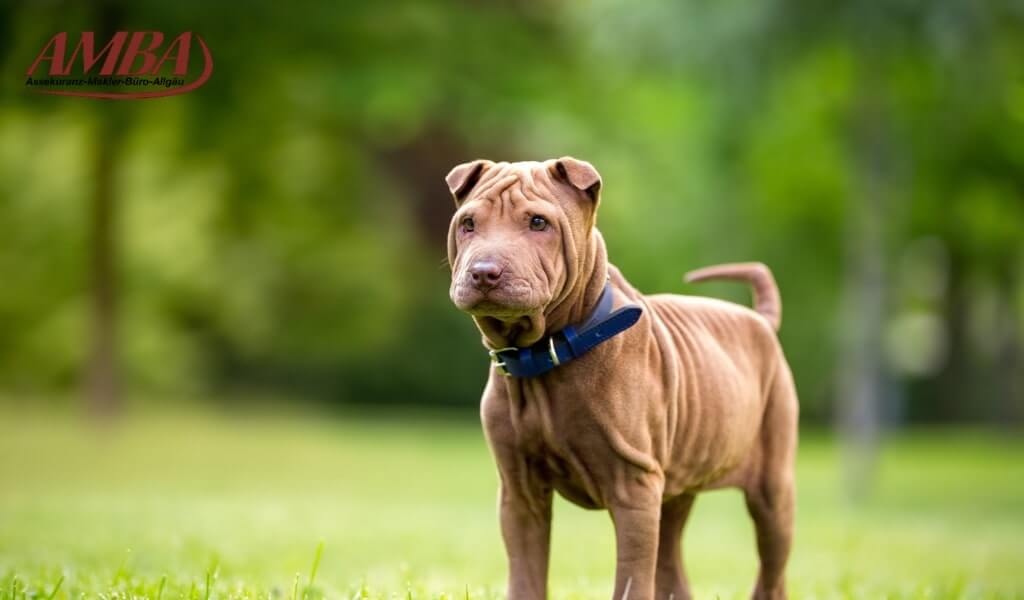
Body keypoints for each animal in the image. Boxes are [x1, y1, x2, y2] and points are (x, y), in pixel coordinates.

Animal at [444, 156, 794, 593]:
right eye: (468, 223)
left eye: (539, 223)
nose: (483, 272)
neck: (545, 356)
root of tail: (760, 321)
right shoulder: (519, 492)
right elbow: (525, 575)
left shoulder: (634, 488)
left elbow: (631, 578)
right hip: (675, 489)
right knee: (672, 565)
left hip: (772, 488)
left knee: (771, 571)